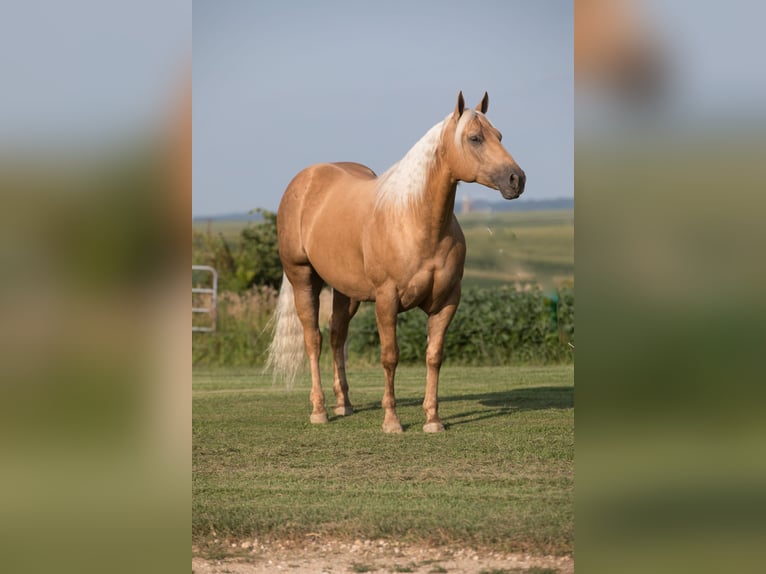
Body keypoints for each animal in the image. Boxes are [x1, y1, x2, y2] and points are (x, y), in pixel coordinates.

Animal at [270, 91, 528, 432]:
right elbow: (390, 356)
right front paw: (392, 421)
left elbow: (434, 356)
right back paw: (320, 410)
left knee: (338, 336)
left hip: (346, 292)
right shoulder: (387, 299)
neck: (414, 219)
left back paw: (344, 404)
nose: (517, 179)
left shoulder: (447, 301)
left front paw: (433, 419)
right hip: (303, 278)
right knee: (314, 339)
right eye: (474, 138)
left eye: (499, 135)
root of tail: (305, 180)